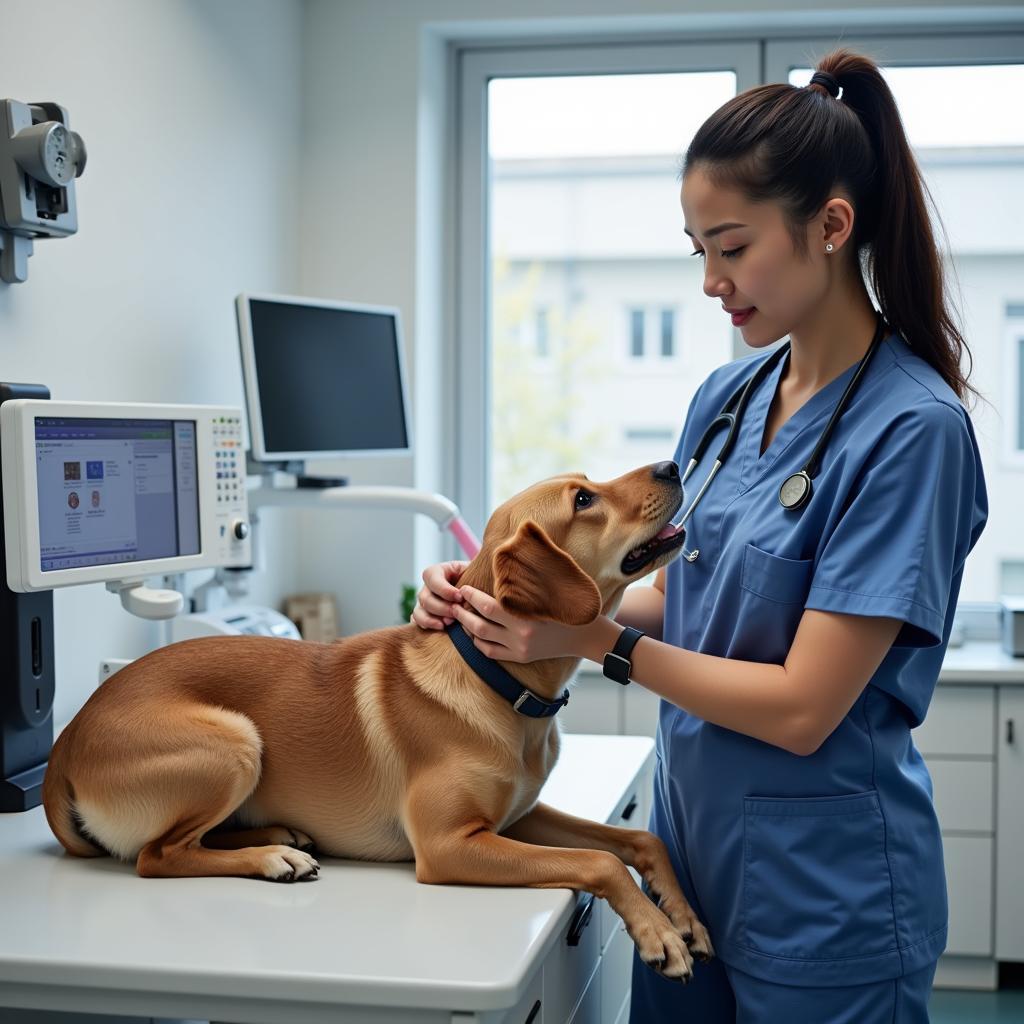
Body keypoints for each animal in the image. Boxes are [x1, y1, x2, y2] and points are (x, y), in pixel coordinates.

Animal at [39, 460, 712, 978]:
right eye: (583, 499)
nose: (672, 466)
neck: (497, 684)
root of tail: (63, 748)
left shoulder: (519, 818)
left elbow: (637, 839)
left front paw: (682, 914)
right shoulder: (449, 846)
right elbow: (600, 862)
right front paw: (657, 932)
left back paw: (279, 837)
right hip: (235, 741)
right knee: (158, 855)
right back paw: (271, 859)